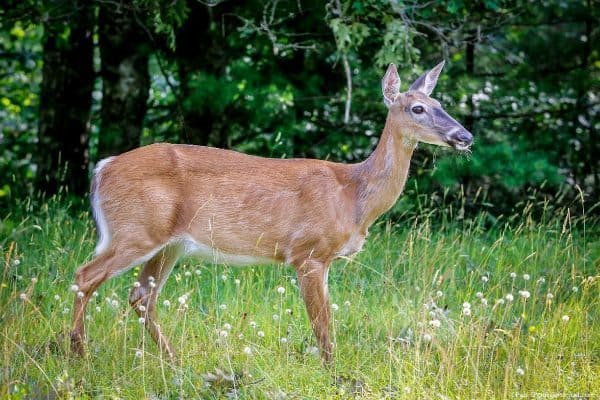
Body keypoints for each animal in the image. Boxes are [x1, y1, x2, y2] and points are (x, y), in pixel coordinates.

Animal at [70, 61, 474, 364]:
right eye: (417, 108)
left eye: (441, 103)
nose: (465, 136)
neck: (353, 195)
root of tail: (102, 168)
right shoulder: (308, 252)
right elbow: (323, 326)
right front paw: (333, 374)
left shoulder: (320, 258)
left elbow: (326, 321)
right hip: (136, 230)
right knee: (85, 276)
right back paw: (78, 352)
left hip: (169, 244)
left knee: (141, 297)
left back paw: (173, 360)